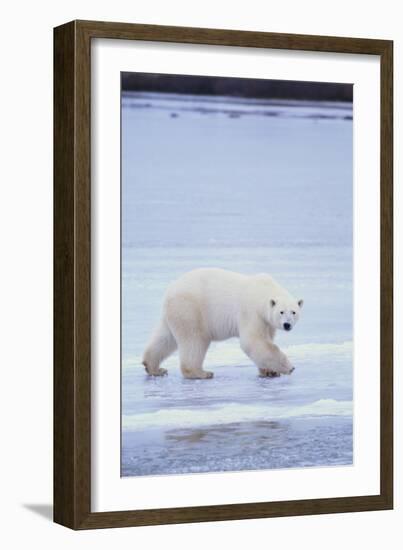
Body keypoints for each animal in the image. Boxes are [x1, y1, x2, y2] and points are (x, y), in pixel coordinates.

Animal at [142, 270, 304, 382]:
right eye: (281, 312)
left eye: (294, 312)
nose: (287, 324)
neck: (262, 291)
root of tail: (169, 291)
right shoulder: (251, 312)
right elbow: (253, 342)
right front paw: (289, 367)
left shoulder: (266, 322)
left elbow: (266, 340)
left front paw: (270, 371)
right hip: (190, 309)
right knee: (194, 341)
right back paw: (202, 373)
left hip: (175, 314)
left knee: (165, 338)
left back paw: (154, 368)